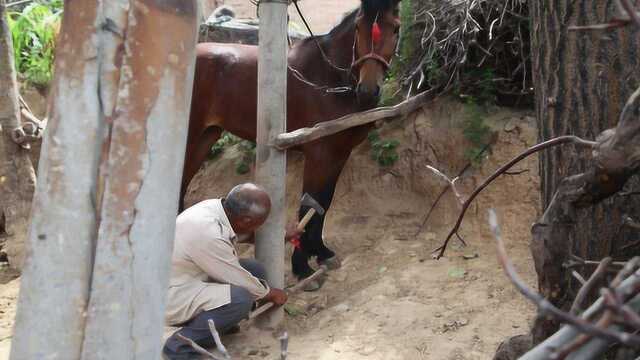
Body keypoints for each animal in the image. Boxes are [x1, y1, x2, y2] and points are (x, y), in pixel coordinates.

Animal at [181, 0, 400, 280]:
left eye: (395, 28)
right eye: (359, 27)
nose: (368, 90)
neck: (328, 80)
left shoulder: (340, 152)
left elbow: (323, 201)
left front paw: (321, 252)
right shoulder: (319, 153)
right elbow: (308, 204)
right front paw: (302, 266)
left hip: (205, 137)